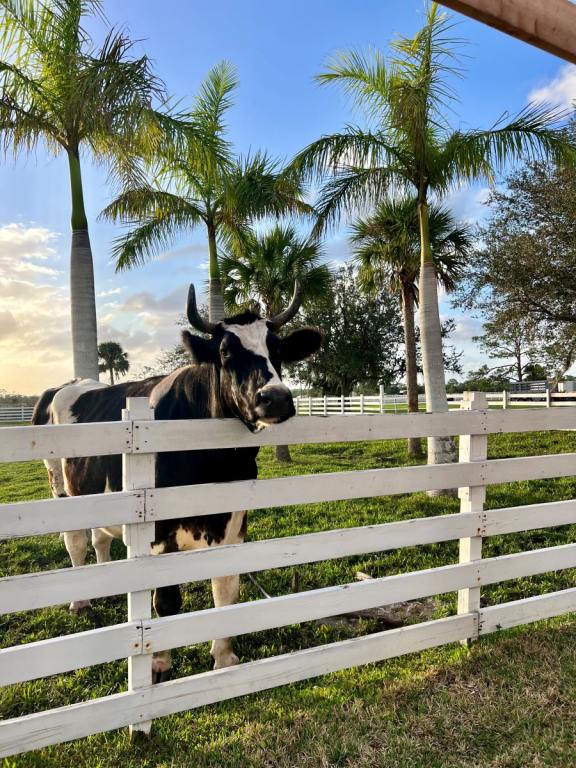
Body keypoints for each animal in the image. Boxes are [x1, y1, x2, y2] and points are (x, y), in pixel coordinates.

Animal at [32, 284, 324, 680]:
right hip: (61, 488)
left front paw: (224, 657)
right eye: (225, 352)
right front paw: (158, 662)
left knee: (99, 538)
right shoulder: (158, 533)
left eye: (277, 350)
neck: (215, 462)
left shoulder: (234, 524)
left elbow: (226, 593)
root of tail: (68, 385)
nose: (275, 398)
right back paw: (80, 600)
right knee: (75, 542)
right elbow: (167, 600)